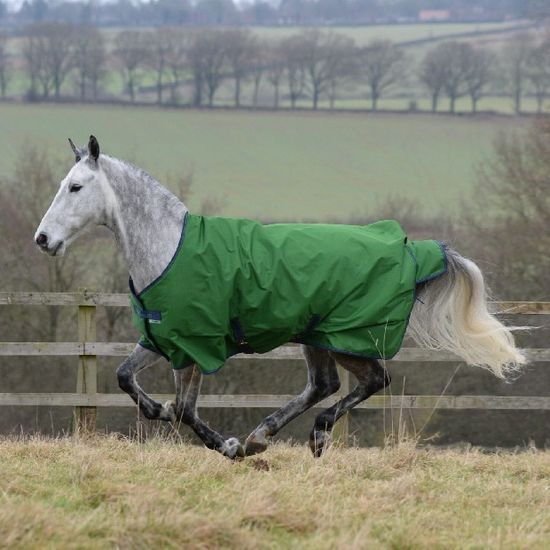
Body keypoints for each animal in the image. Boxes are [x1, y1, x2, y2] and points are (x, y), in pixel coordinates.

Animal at [33, 138, 528, 462]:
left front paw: (227, 446)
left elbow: (188, 411)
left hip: (343, 335)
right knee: (325, 384)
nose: (43, 240)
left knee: (373, 380)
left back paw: (301, 436)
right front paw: (159, 409)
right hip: (316, 336)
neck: (168, 248)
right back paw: (266, 436)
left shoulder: (196, 344)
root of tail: (408, 249)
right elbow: (124, 377)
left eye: (76, 187)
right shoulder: (165, 338)